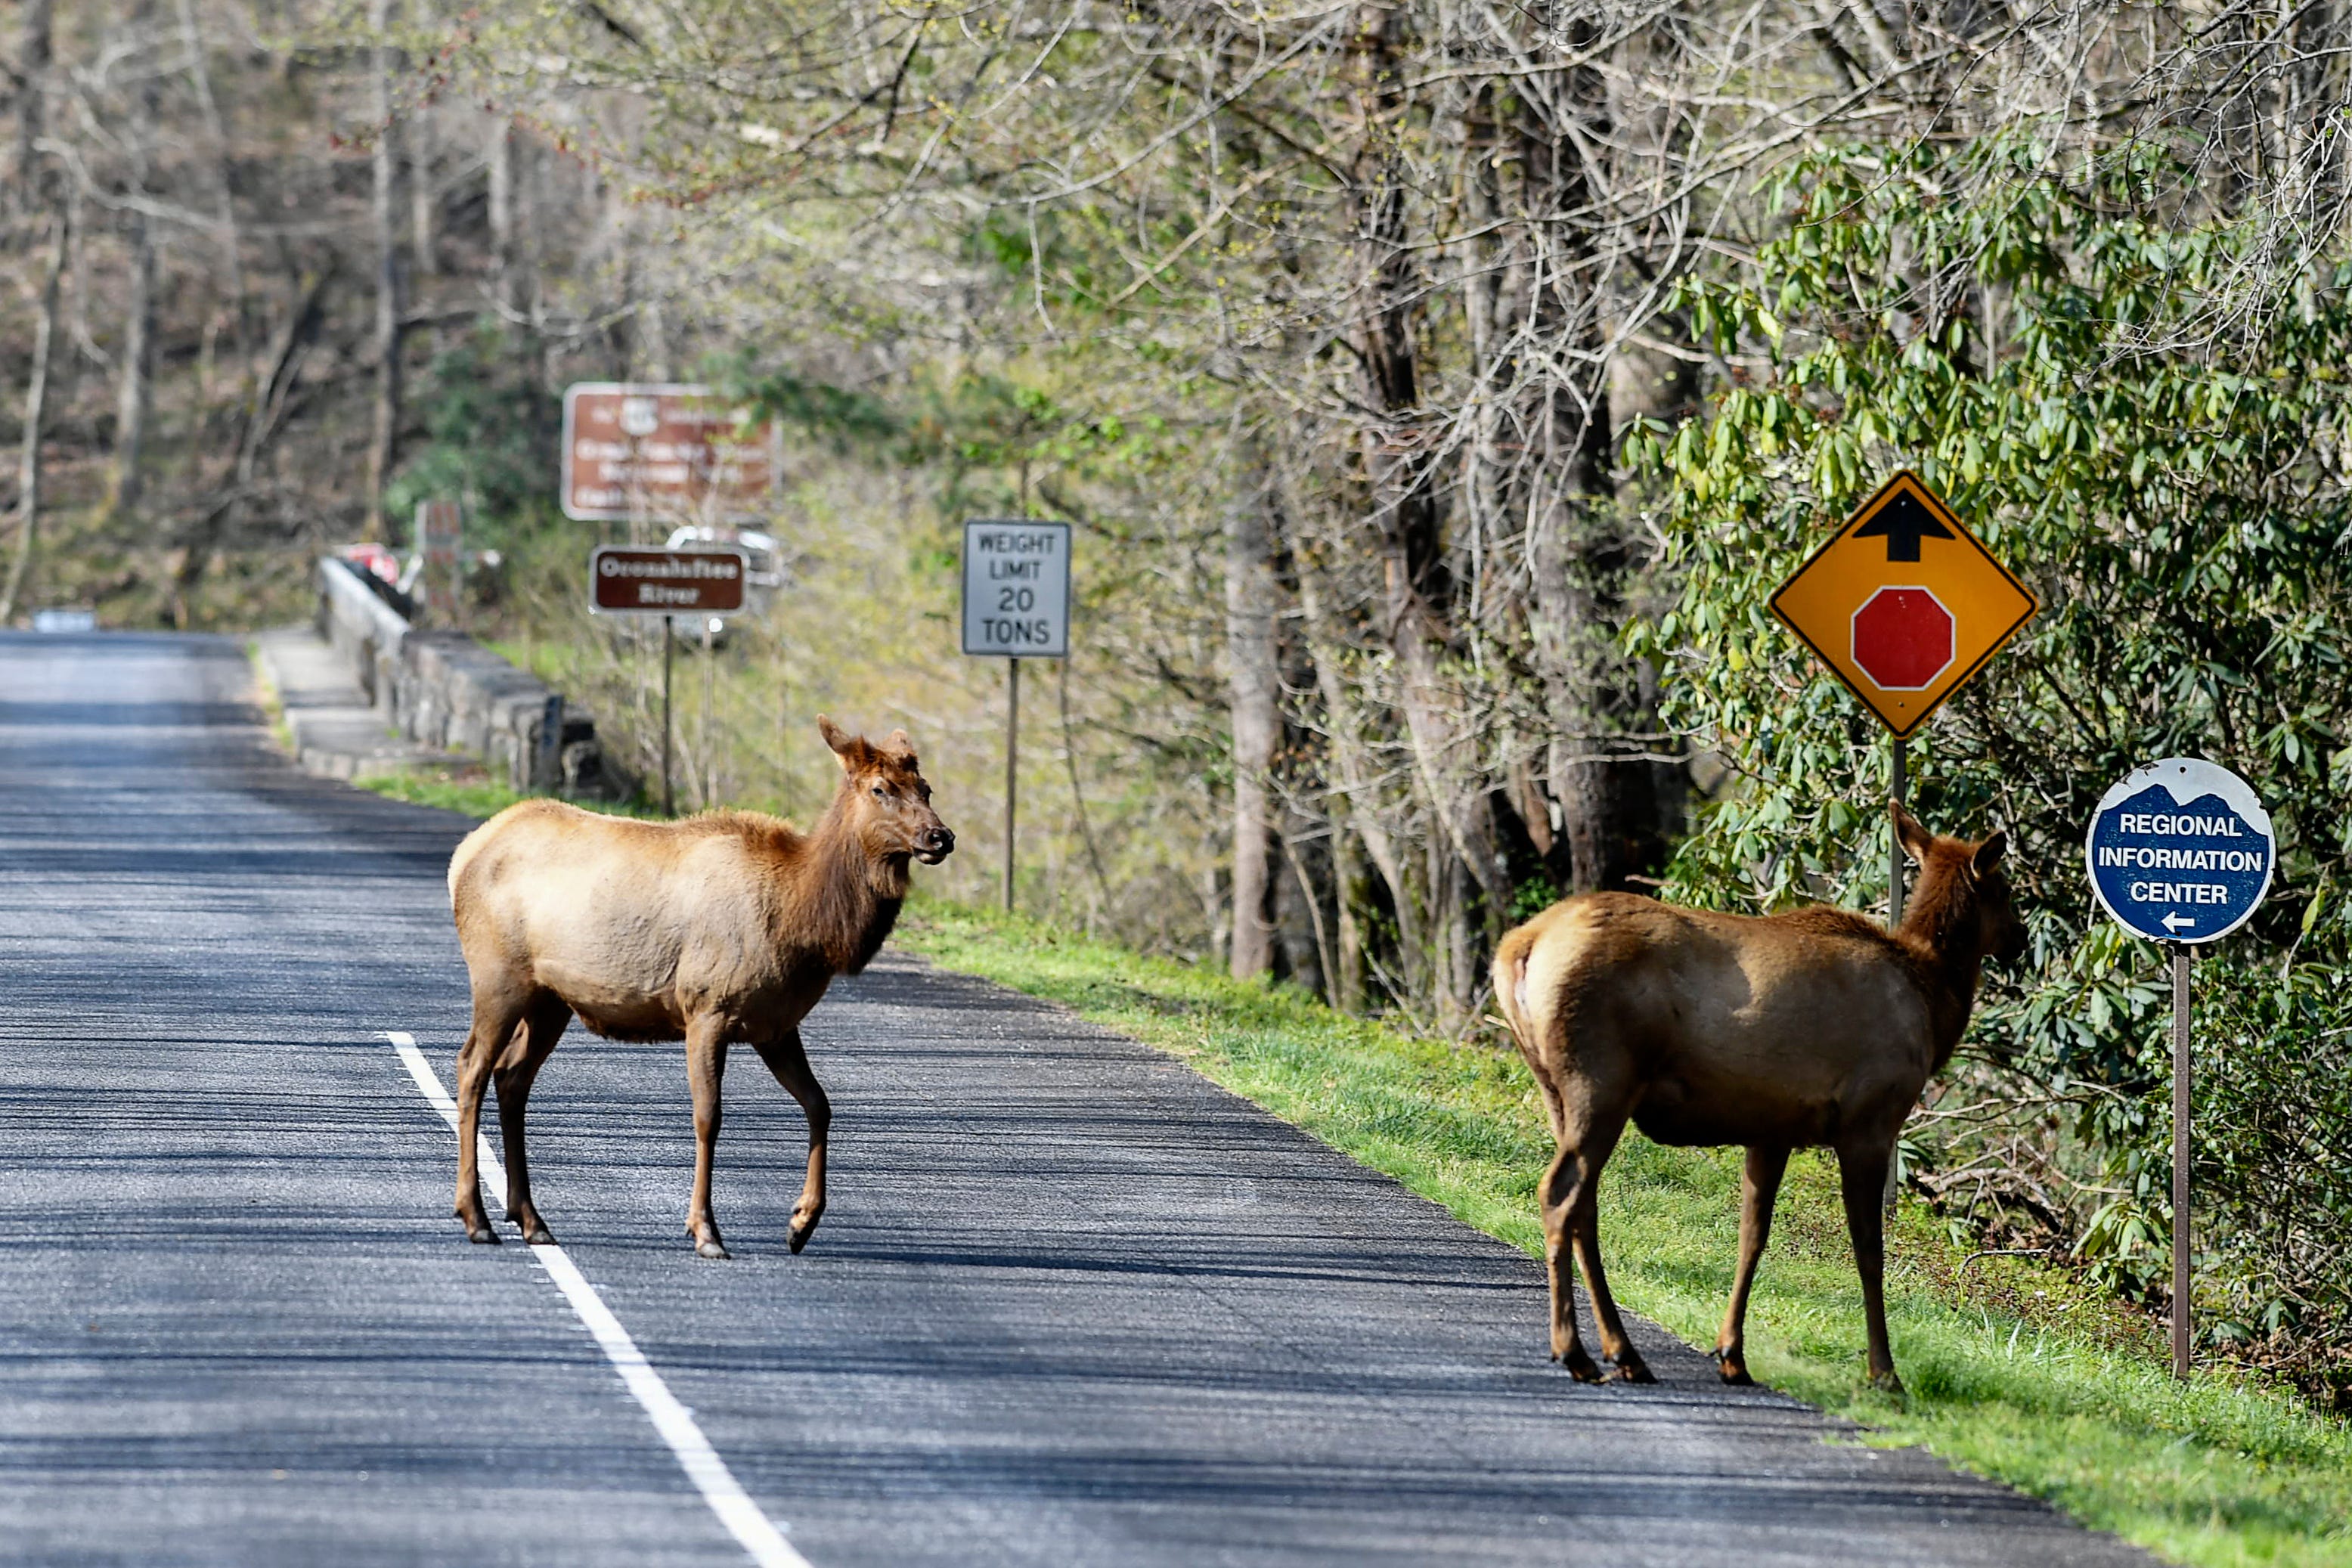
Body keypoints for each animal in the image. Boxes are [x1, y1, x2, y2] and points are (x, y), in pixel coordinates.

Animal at [442, 724, 955, 1260]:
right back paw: (476, 1217)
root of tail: (462, 858)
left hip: (550, 1000)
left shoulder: (776, 1025)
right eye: (880, 789)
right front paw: (706, 1231)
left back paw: (530, 1219)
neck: (802, 923)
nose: (940, 836)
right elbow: (709, 1117)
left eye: (926, 789)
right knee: (472, 1066)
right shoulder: (707, 1008)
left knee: (512, 1076)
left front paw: (801, 1223)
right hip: (498, 977)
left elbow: (820, 1105)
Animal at [1486, 804, 2022, 1391]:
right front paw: (1884, 1373)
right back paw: (1575, 1351)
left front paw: (1731, 1354)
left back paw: (1622, 1352)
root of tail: (1518, 950)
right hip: (1601, 1080)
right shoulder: (1870, 1121)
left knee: (1585, 1204)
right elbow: (1868, 1250)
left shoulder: (1771, 1131)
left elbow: (1752, 1237)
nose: (2021, 940)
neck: (1933, 999)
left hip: (1555, 1087)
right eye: (2006, 890)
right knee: (1561, 1194)